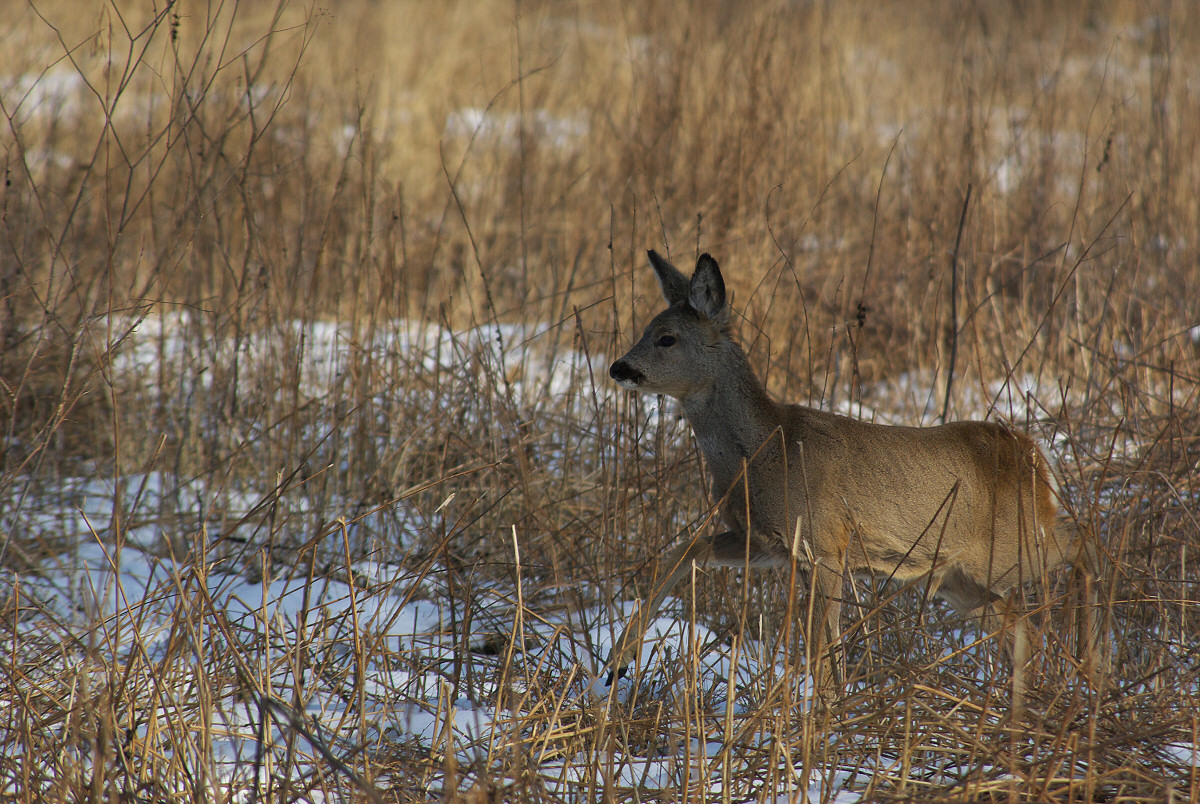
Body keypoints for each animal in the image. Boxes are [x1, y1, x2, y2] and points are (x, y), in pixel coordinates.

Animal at [604, 248, 1099, 700]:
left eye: (666, 338)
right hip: (960, 576)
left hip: (1010, 548)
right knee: (1019, 626)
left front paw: (821, 718)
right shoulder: (767, 541)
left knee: (1083, 539)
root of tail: (1033, 456)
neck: (767, 448)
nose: (618, 367)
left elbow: (820, 646)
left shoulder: (824, 542)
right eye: (645, 331)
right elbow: (687, 548)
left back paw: (1092, 665)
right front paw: (618, 662)